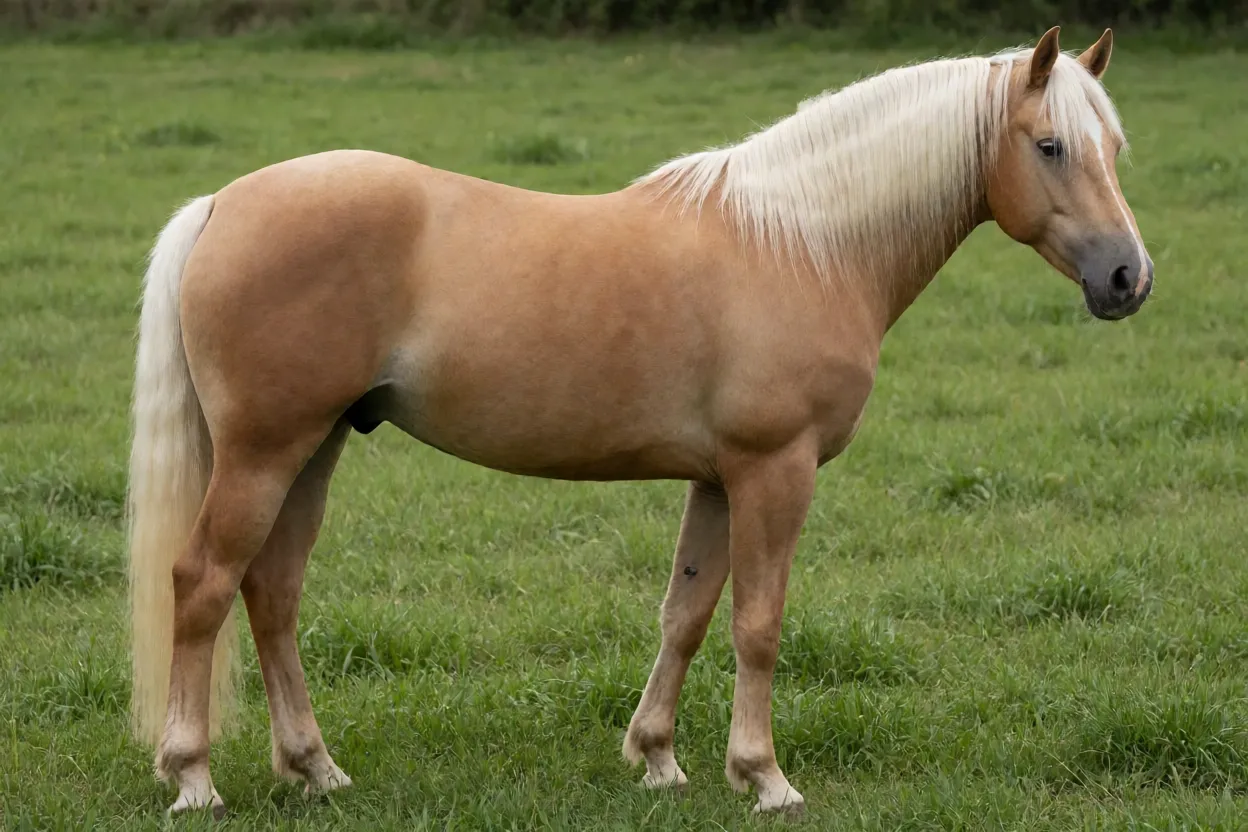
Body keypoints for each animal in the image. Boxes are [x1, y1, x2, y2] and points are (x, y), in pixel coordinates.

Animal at [126, 25, 1152, 819]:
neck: (804, 244)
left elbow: (687, 613)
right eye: (1050, 145)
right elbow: (758, 621)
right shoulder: (776, 470)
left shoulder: (718, 479)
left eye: (1114, 146)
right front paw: (766, 778)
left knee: (273, 592)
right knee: (204, 582)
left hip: (316, 446)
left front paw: (658, 758)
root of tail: (221, 204)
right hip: (266, 451)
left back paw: (316, 769)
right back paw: (193, 778)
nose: (1127, 278)